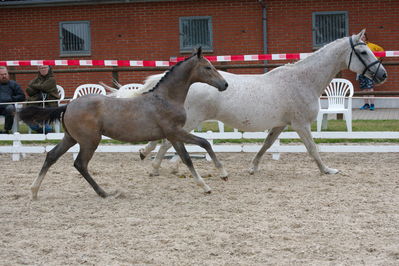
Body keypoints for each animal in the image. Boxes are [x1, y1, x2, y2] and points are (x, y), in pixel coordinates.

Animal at [20, 47, 230, 198]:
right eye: (208, 67)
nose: (225, 85)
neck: (165, 98)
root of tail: (68, 106)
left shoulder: (173, 135)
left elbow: (190, 153)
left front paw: (211, 181)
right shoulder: (175, 132)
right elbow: (199, 147)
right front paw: (216, 179)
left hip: (70, 138)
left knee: (51, 156)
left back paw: (34, 191)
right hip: (89, 141)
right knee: (80, 164)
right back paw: (103, 193)